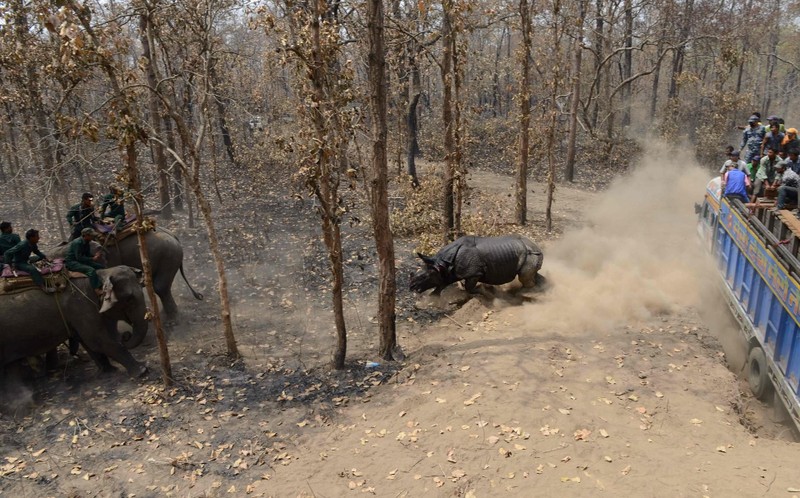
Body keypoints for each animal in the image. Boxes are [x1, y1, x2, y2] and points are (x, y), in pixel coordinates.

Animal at [0, 266, 148, 376]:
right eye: (129, 299)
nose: (125, 336)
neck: (99, 274)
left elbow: (87, 341)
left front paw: (108, 370)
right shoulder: (80, 306)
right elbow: (98, 340)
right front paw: (142, 371)